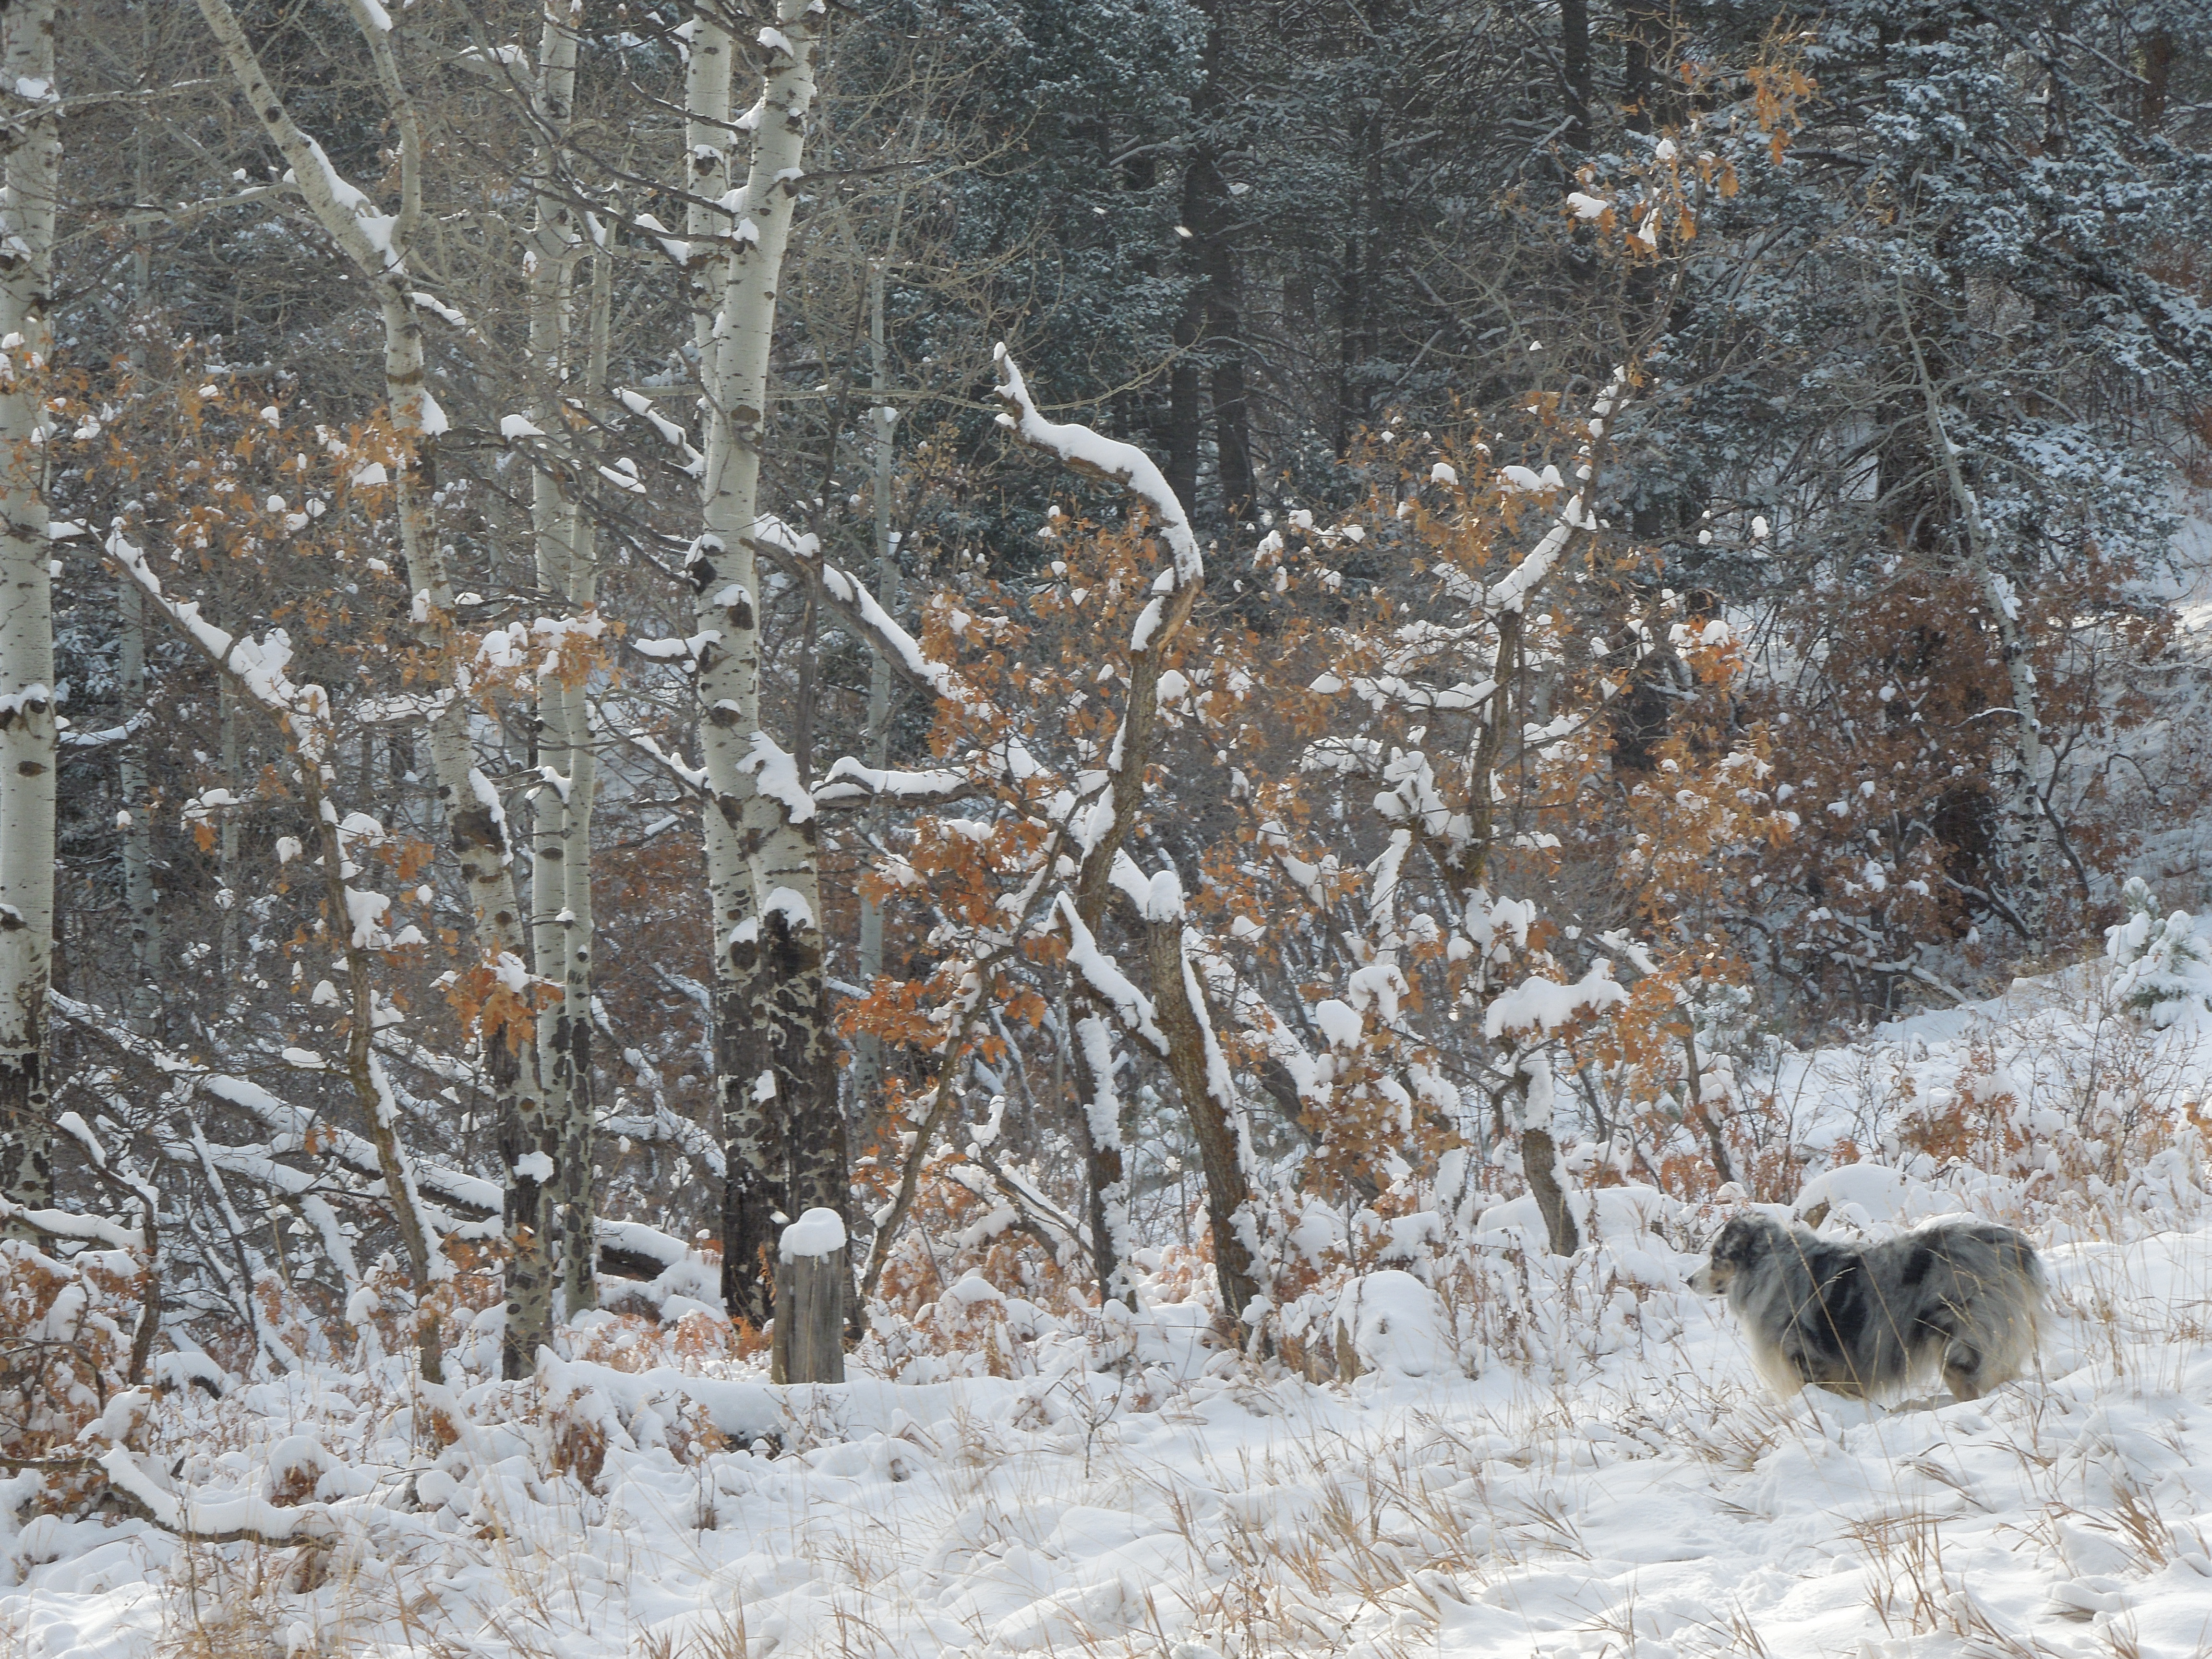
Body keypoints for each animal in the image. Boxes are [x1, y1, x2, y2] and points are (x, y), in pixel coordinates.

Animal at [1681, 1212, 2044, 1407]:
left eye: (1717, 1257)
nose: (1687, 1280)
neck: (1771, 1269)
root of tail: (2012, 1247)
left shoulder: (1811, 1363)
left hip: (1960, 1344)